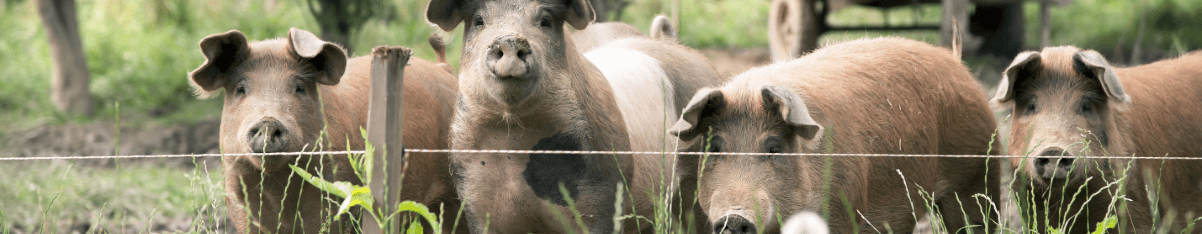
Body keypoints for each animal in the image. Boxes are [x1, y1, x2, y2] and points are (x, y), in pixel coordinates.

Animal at [189, 27, 461, 234]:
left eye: (299, 87)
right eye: (241, 89)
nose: (268, 121)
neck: (277, 186)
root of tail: (444, 68)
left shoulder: (339, 195)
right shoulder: (239, 199)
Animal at [425, 0, 721, 231]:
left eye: (545, 20)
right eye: (479, 21)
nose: (510, 40)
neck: (514, 140)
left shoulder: (601, 194)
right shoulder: (474, 198)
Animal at [673, 37, 1000, 232]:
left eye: (774, 147)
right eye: (715, 147)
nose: (734, 218)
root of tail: (958, 64)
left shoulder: (843, 207)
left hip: (977, 175)